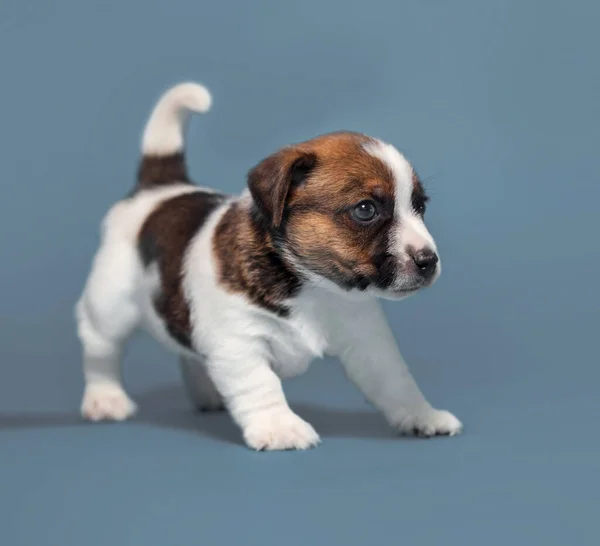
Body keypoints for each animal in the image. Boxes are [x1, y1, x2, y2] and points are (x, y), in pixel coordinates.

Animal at [76, 81, 464, 446]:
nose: (428, 261)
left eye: (420, 207)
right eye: (366, 209)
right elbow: (260, 385)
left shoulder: (367, 339)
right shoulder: (238, 341)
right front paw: (279, 427)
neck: (313, 285)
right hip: (111, 305)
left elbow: (395, 381)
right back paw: (105, 397)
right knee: (100, 348)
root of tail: (160, 189)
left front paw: (422, 414)